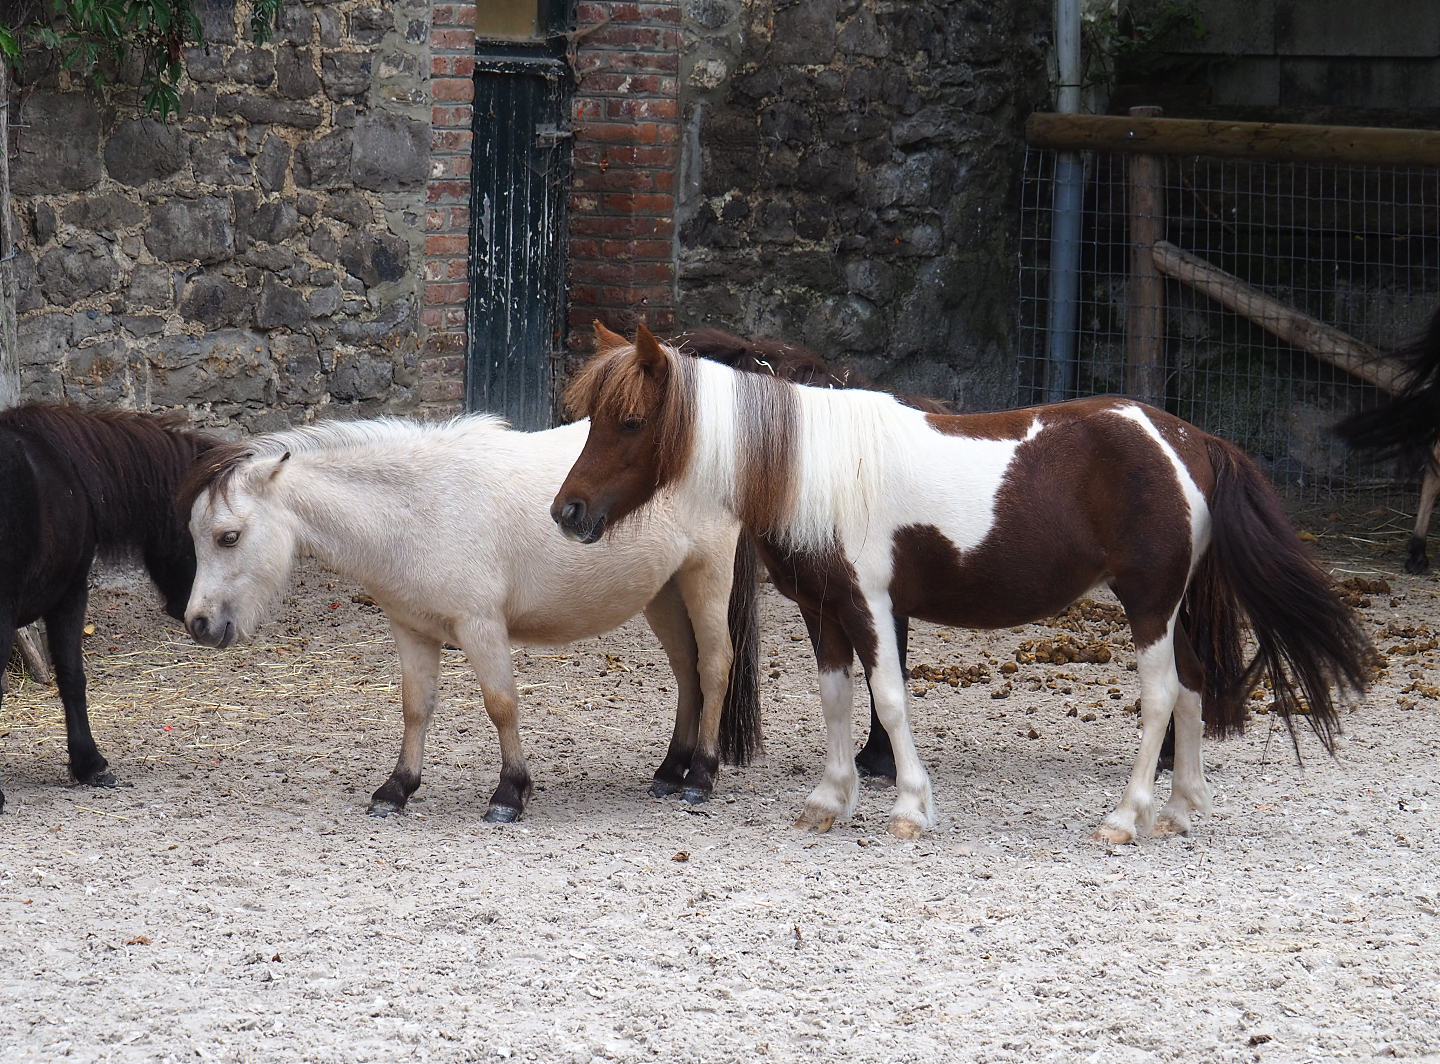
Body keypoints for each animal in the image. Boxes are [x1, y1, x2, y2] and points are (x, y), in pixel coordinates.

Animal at [177, 415, 761, 822]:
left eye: (229, 536)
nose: (199, 624)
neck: (417, 508)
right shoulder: (411, 629)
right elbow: (416, 708)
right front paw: (396, 789)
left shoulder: (481, 628)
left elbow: (501, 705)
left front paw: (509, 794)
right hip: (663, 592)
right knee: (687, 672)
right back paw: (670, 770)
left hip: (705, 576)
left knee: (714, 665)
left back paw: (699, 778)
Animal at [551, 325, 1373, 842]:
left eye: (630, 421)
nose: (568, 511)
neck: (813, 466)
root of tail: (1190, 439)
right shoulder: (823, 609)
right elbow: (836, 699)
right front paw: (828, 800)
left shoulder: (870, 604)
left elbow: (888, 697)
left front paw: (910, 807)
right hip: (1169, 608)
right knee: (1196, 686)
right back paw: (1179, 810)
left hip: (1147, 602)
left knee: (1163, 695)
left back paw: (1125, 818)